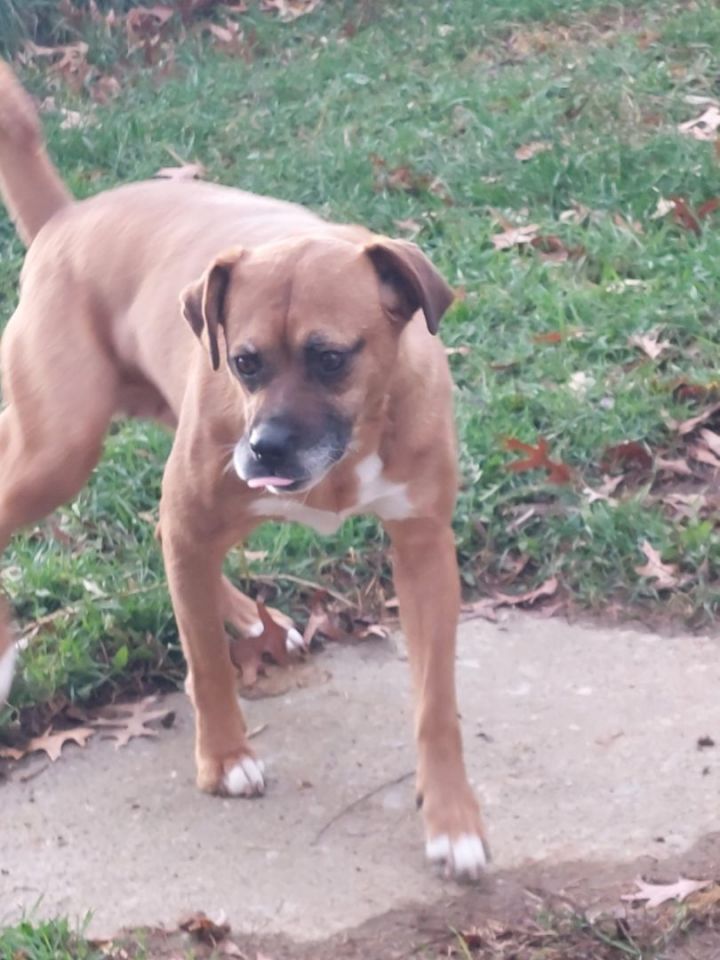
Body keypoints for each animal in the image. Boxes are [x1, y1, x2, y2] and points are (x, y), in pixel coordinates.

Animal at [0, 63, 490, 880]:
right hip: (55, 455)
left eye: (332, 356)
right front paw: (224, 758)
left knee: (173, 540)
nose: (266, 448)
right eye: (244, 361)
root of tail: (67, 221)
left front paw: (452, 818)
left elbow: (435, 702)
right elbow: (204, 661)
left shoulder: (423, 548)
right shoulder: (203, 504)